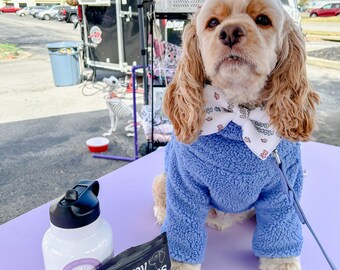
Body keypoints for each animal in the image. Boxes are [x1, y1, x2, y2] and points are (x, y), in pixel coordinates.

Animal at [153, 0, 320, 270]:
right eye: (212, 23)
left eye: (263, 20)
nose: (230, 32)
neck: (238, 114)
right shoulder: (183, 185)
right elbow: (180, 236)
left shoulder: (284, 191)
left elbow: (281, 241)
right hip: (162, 179)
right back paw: (161, 212)